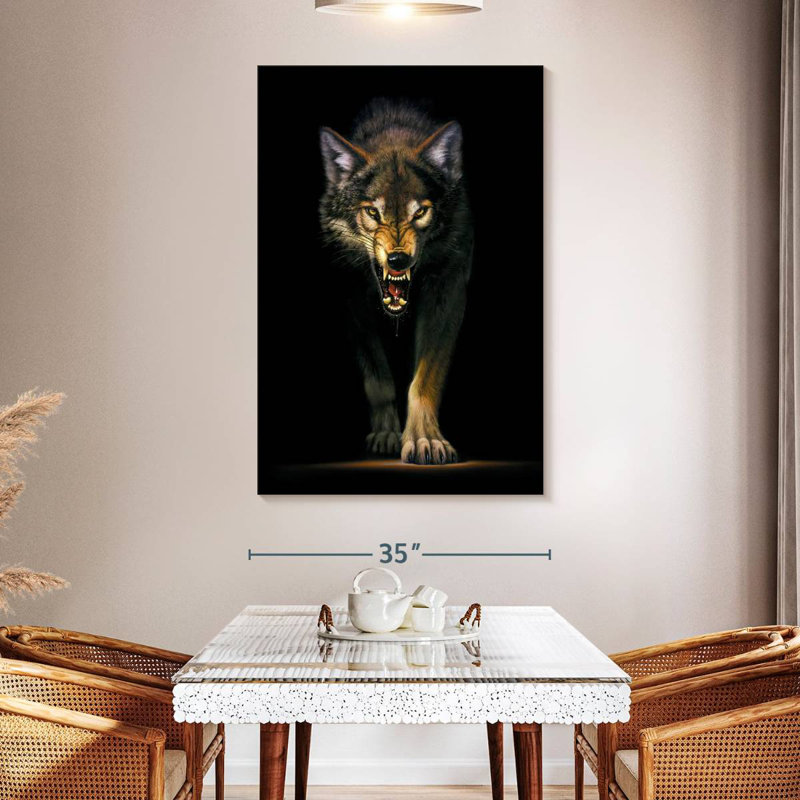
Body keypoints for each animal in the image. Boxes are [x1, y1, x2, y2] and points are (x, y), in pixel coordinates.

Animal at [319, 100, 473, 465]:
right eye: (373, 213)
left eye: (420, 213)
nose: (398, 260)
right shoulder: (351, 298)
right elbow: (379, 379)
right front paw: (387, 434)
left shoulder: (449, 290)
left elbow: (424, 379)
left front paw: (425, 439)